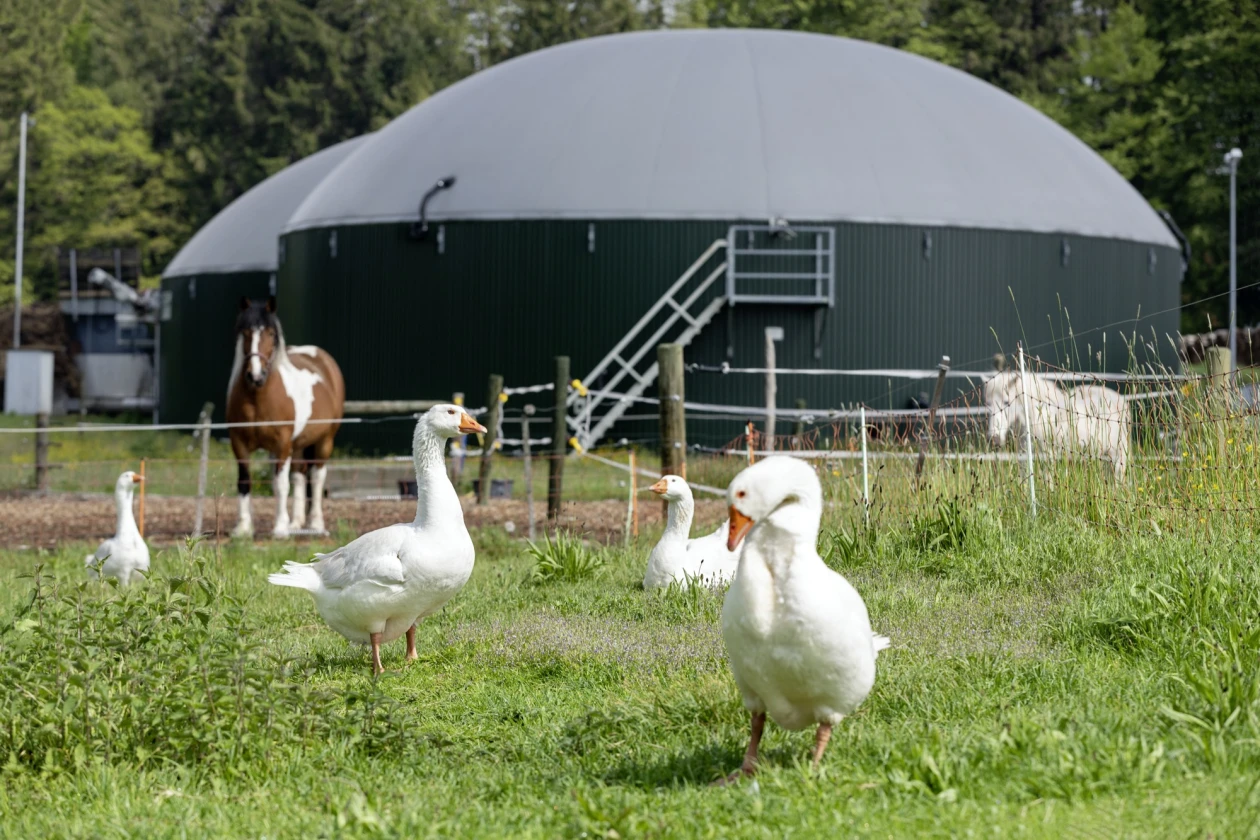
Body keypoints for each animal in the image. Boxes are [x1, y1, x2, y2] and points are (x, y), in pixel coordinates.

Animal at [227, 297, 346, 538]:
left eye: (271, 333)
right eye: (245, 332)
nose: (255, 375)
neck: (258, 398)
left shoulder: (281, 445)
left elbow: (280, 485)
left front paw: (280, 528)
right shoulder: (239, 444)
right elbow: (244, 481)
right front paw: (243, 528)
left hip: (324, 441)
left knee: (317, 477)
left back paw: (315, 523)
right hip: (298, 444)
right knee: (299, 475)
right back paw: (296, 523)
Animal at [984, 371, 1129, 481]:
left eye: (1006, 402)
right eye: (987, 403)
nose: (994, 439)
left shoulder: (1047, 455)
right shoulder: (1024, 455)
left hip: (1118, 454)